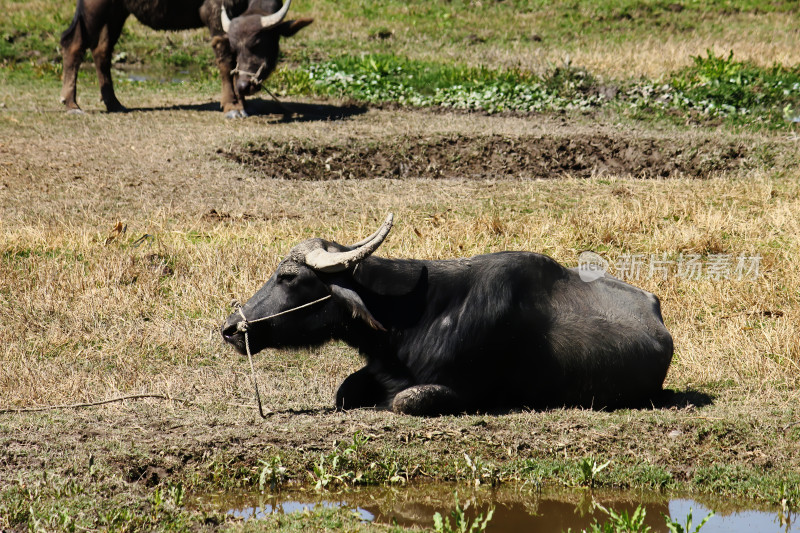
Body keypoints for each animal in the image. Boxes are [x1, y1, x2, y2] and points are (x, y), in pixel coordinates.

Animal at [58, 0, 312, 117]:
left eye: (257, 43)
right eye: (237, 44)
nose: (244, 85)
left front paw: (242, 102)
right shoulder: (215, 15)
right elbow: (225, 61)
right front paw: (232, 105)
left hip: (117, 12)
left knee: (102, 50)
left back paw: (114, 103)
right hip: (95, 7)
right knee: (74, 44)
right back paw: (72, 104)